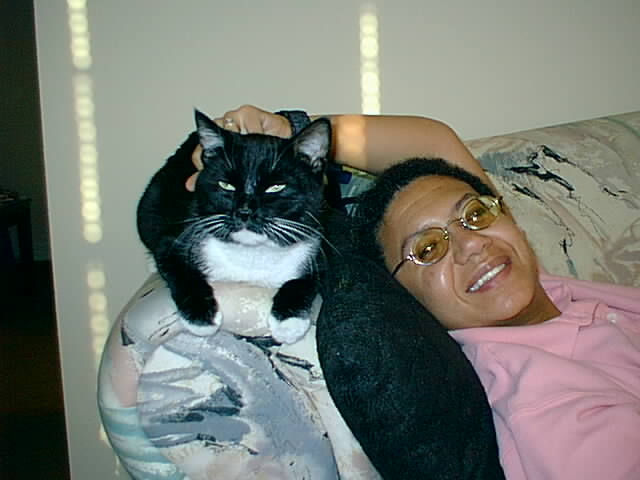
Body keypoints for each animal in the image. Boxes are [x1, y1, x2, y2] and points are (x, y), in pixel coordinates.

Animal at [137, 109, 331, 344]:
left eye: (276, 187)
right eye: (226, 185)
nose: (244, 211)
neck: (251, 255)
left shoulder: (317, 243)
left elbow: (305, 280)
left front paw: (289, 323)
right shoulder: (178, 237)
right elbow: (181, 271)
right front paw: (201, 318)